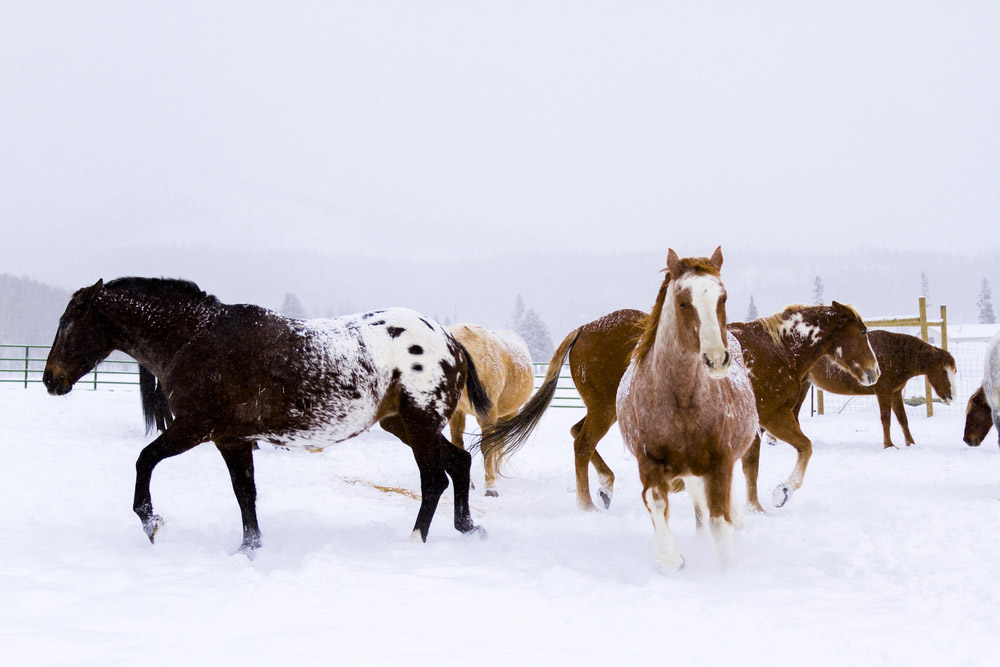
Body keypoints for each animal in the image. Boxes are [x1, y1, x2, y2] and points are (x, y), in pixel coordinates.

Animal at [43, 276, 492, 552]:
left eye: (67, 323)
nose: (51, 379)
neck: (195, 340)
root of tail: (448, 339)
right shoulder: (231, 440)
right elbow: (245, 494)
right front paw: (250, 548)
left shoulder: (193, 429)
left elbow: (144, 461)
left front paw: (151, 522)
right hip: (403, 424)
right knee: (459, 463)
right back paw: (469, 528)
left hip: (419, 424)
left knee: (434, 479)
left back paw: (417, 540)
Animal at [448, 324, 536, 496]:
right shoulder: (458, 413)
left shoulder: (488, 415)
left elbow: (489, 446)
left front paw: (490, 485)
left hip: (503, 414)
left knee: (497, 443)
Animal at [480, 300, 880, 516]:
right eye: (861, 332)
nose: (874, 371)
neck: (774, 350)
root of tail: (585, 329)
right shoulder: (774, 416)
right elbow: (804, 448)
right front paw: (782, 491)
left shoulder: (754, 426)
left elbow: (751, 467)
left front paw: (756, 506)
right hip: (605, 408)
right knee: (582, 443)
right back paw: (587, 503)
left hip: (604, 408)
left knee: (578, 434)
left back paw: (606, 486)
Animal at [612, 248, 752, 572]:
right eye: (683, 301)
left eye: (722, 297)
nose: (716, 359)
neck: (682, 402)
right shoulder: (649, 462)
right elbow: (656, 502)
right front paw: (671, 559)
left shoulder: (720, 463)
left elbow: (720, 523)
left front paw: (727, 573)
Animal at [792, 328, 956, 448]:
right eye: (943, 370)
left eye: (954, 371)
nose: (951, 396)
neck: (895, 354)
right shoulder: (884, 393)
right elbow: (886, 419)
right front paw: (889, 445)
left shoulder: (895, 393)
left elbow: (903, 419)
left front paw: (911, 444)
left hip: (804, 386)